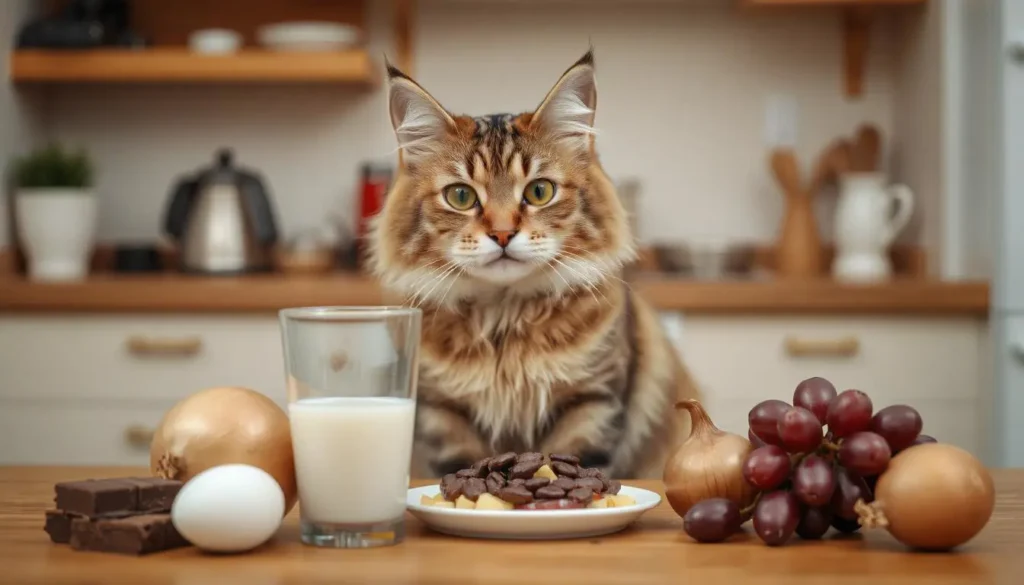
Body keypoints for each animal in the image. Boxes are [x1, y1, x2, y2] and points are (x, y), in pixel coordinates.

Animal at [370, 50, 704, 481]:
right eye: (460, 196)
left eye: (539, 191)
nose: (501, 234)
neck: (505, 318)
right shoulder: (443, 413)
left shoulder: (591, 403)